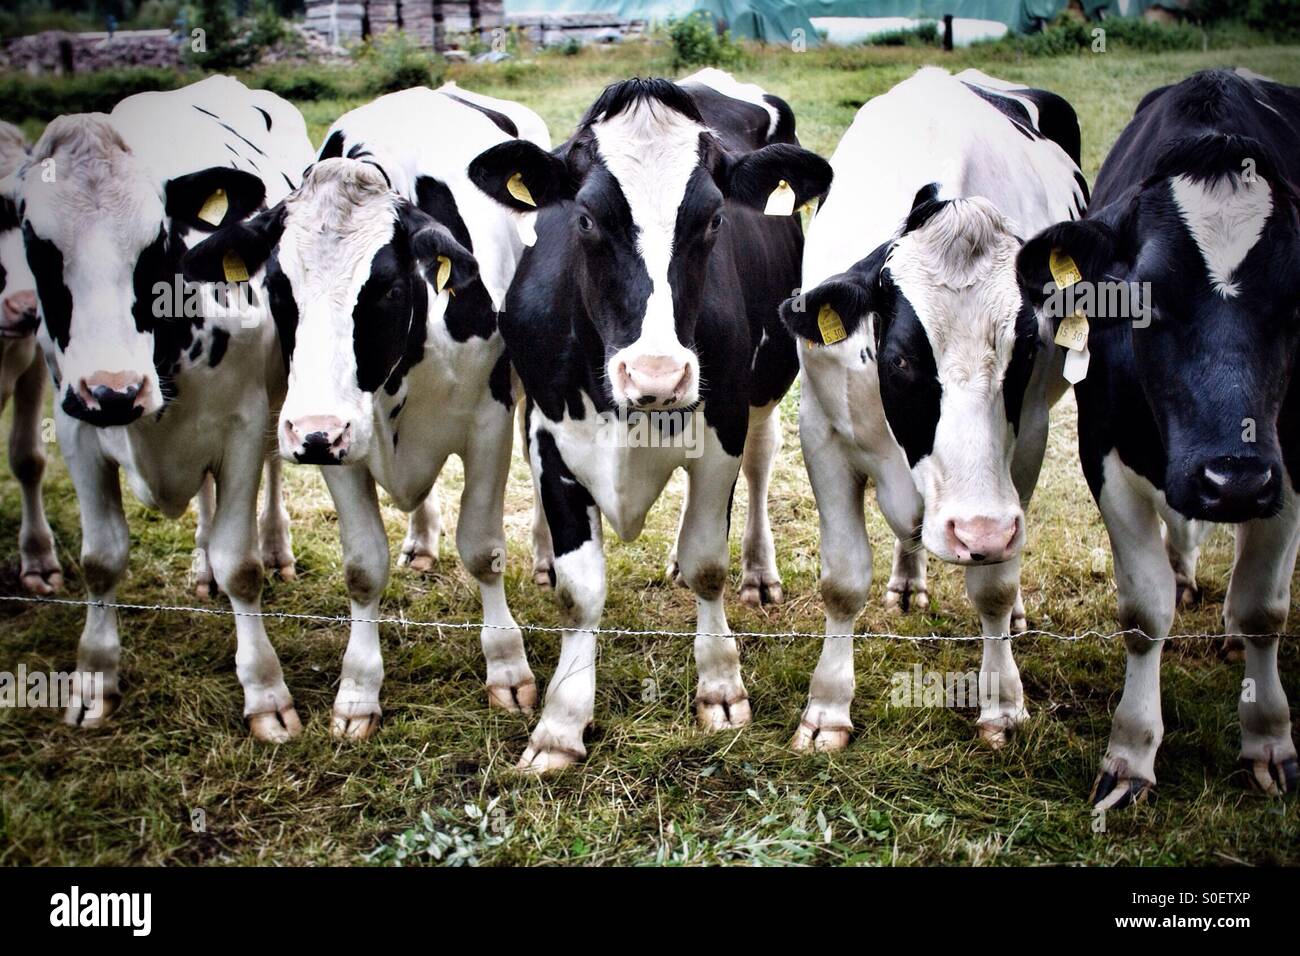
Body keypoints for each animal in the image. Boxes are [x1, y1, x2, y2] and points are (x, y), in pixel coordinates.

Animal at [17, 76, 315, 739]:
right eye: (36, 245)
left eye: (155, 243)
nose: (113, 390)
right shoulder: (75, 427)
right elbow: (100, 560)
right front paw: (94, 679)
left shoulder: (243, 424)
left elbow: (241, 564)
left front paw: (266, 692)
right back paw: (200, 565)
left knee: (272, 472)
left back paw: (275, 545)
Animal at [183, 85, 547, 738]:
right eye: (279, 290)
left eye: (385, 288)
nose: (312, 433)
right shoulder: (338, 447)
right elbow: (362, 567)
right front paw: (357, 692)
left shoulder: (489, 422)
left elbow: (483, 549)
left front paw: (508, 668)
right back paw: (420, 543)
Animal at [466, 70, 832, 771]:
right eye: (584, 218)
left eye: (714, 218)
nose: (658, 375)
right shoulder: (553, 439)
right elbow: (580, 591)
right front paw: (559, 725)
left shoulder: (721, 429)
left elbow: (708, 562)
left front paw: (720, 687)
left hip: (768, 381)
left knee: (761, 463)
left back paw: (759, 573)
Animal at [780, 68, 1087, 751]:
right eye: (901, 360)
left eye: (1028, 348)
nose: (979, 533)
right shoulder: (822, 432)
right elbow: (843, 581)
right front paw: (826, 709)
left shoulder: (1028, 440)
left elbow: (994, 585)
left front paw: (1002, 703)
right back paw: (907, 581)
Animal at [1016, 69, 1300, 806]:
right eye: (1144, 300)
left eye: (1295, 302)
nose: (1233, 479)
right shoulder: (1104, 452)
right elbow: (1146, 611)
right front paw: (1132, 753)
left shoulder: (1289, 466)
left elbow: (1264, 605)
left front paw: (1268, 740)